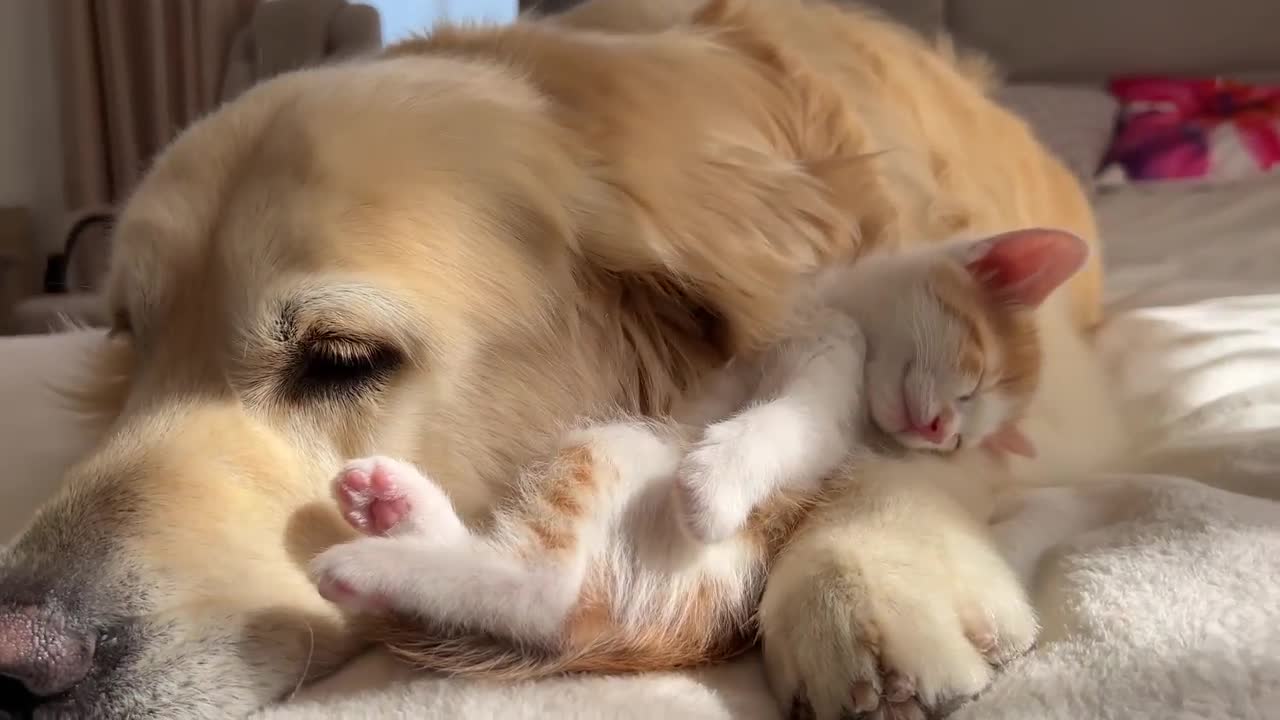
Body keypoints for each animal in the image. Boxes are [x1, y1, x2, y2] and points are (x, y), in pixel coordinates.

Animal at [307, 226, 1080, 676]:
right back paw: (392, 506)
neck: (837, 311)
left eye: (967, 426)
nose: (941, 434)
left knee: (542, 593)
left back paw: (366, 562)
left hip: (613, 455)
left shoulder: (830, 390)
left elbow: (788, 426)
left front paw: (713, 483)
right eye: (975, 379)